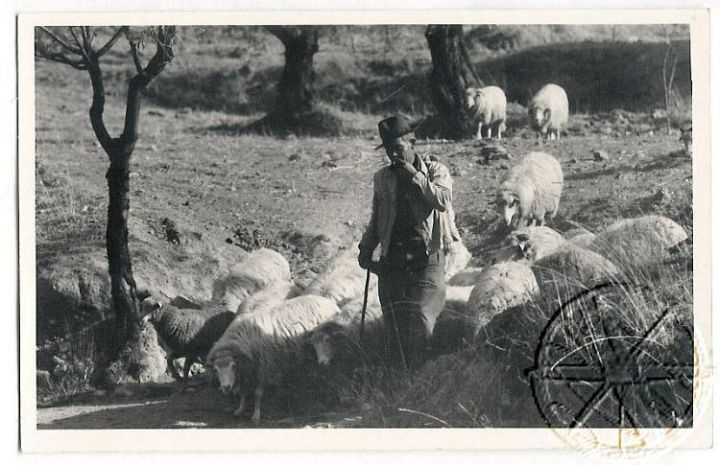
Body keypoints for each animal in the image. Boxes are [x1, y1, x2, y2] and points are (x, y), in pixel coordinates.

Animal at [205, 296, 340, 422]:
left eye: (233, 366)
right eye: (216, 370)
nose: (226, 387)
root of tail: (328, 301)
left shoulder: (264, 367)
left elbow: (257, 394)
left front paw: (256, 416)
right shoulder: (246, 370)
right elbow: (243, 391)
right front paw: (240, 409)